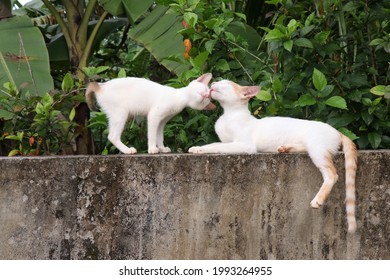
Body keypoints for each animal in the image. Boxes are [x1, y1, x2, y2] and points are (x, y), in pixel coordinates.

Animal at [85, 73, 215, 154]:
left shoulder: (162, 121)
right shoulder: (154, 116)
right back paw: (128, 150)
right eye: (204, 91)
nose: (204, 95)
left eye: (205, 100)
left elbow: (159, 136)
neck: (179, 98)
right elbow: (152, 135)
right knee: (112, 136)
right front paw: (152, 149)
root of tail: (100, 85)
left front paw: (162, 148)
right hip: (121, 114)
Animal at [189, 79, 356, 234]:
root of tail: (337, 131)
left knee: (332, 174)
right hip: (310, 146)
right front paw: (196, 148)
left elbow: (217, 147)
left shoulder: (245, 145)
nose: (213, 82)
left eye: (225, 83)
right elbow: (212, 144)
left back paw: (318, 200)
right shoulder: (227, 141)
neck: (228, 115)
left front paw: (200, 149)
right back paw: (285, 148)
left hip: (317, 149)